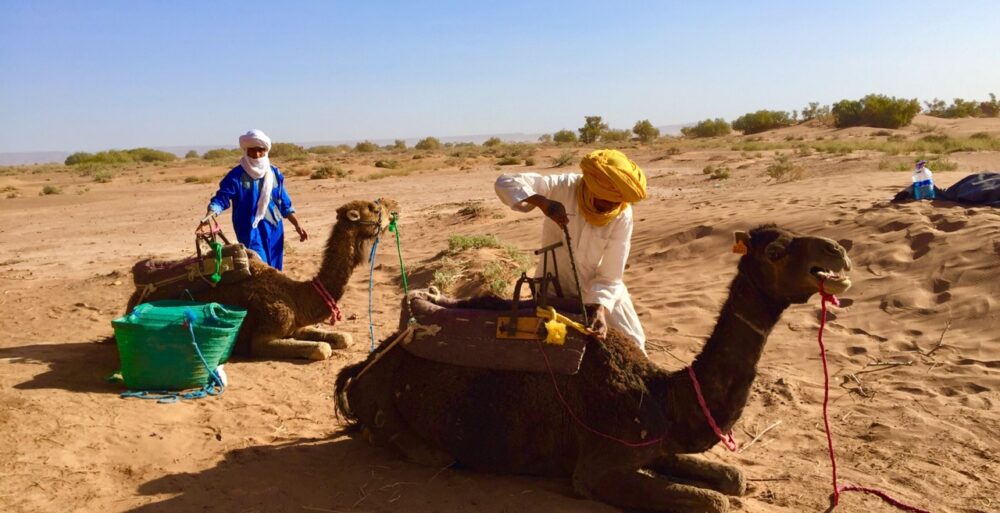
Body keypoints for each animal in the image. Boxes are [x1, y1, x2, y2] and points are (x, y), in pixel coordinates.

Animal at [122, 198, 394, 358]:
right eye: (375, 209)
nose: (394, 208)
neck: (298, 296)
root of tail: (133, 298)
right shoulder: (267, 332)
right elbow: (321, 349)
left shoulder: (296, 324)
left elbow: (342, 338)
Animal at [336, 225, 852, 512]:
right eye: (775, 252)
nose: (838, 251)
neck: (661, 394)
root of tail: (366, 365)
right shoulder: (598, 469)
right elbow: (717, 501)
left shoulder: (652, 444)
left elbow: (733, 480)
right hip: (393, 413)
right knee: (421, 449)